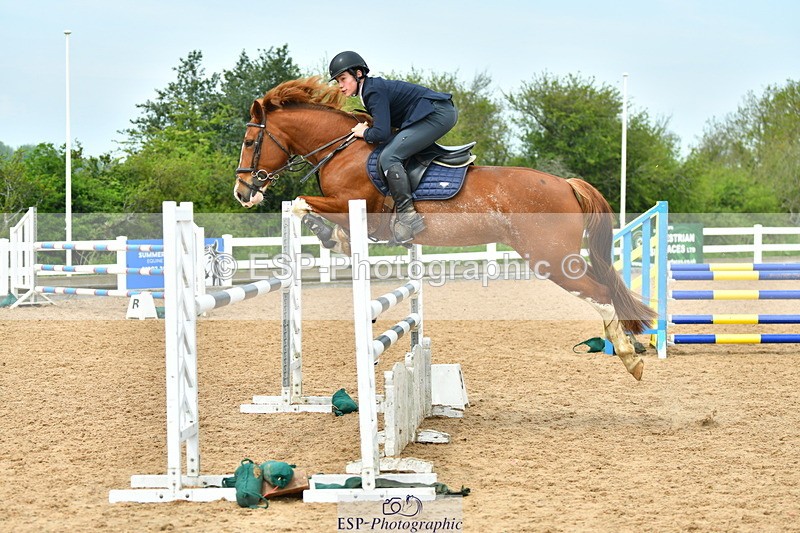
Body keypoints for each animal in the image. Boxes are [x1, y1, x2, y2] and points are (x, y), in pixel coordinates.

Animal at [234, 77, 655, 381]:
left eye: (251, 141)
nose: (242, 193)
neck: (342, 150)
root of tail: (566, 184)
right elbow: (335, 235)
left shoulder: (351, 205)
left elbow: (301, 203)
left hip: (551, 258)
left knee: (601, 292)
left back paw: (629, 356)